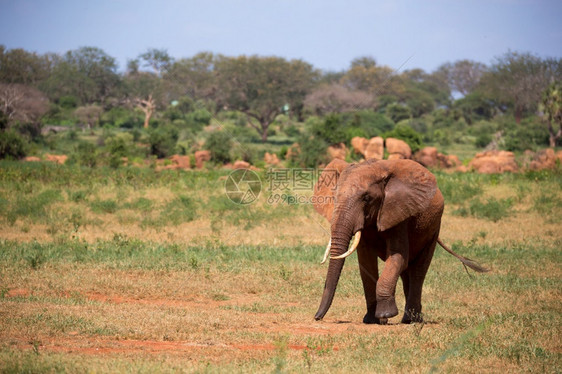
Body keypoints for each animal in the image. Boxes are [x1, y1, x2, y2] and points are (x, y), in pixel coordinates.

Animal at [310, 158, 486, 324]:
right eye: (334, 197)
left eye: (366, 198)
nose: (317, 317)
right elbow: (367, 263)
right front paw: (372, 320)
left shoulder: (400, 213)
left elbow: (396, 257)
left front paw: (385, 315)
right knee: (406, 271)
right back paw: (412, 318)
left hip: (434, 228)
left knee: (418, 270)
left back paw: (411, 320)